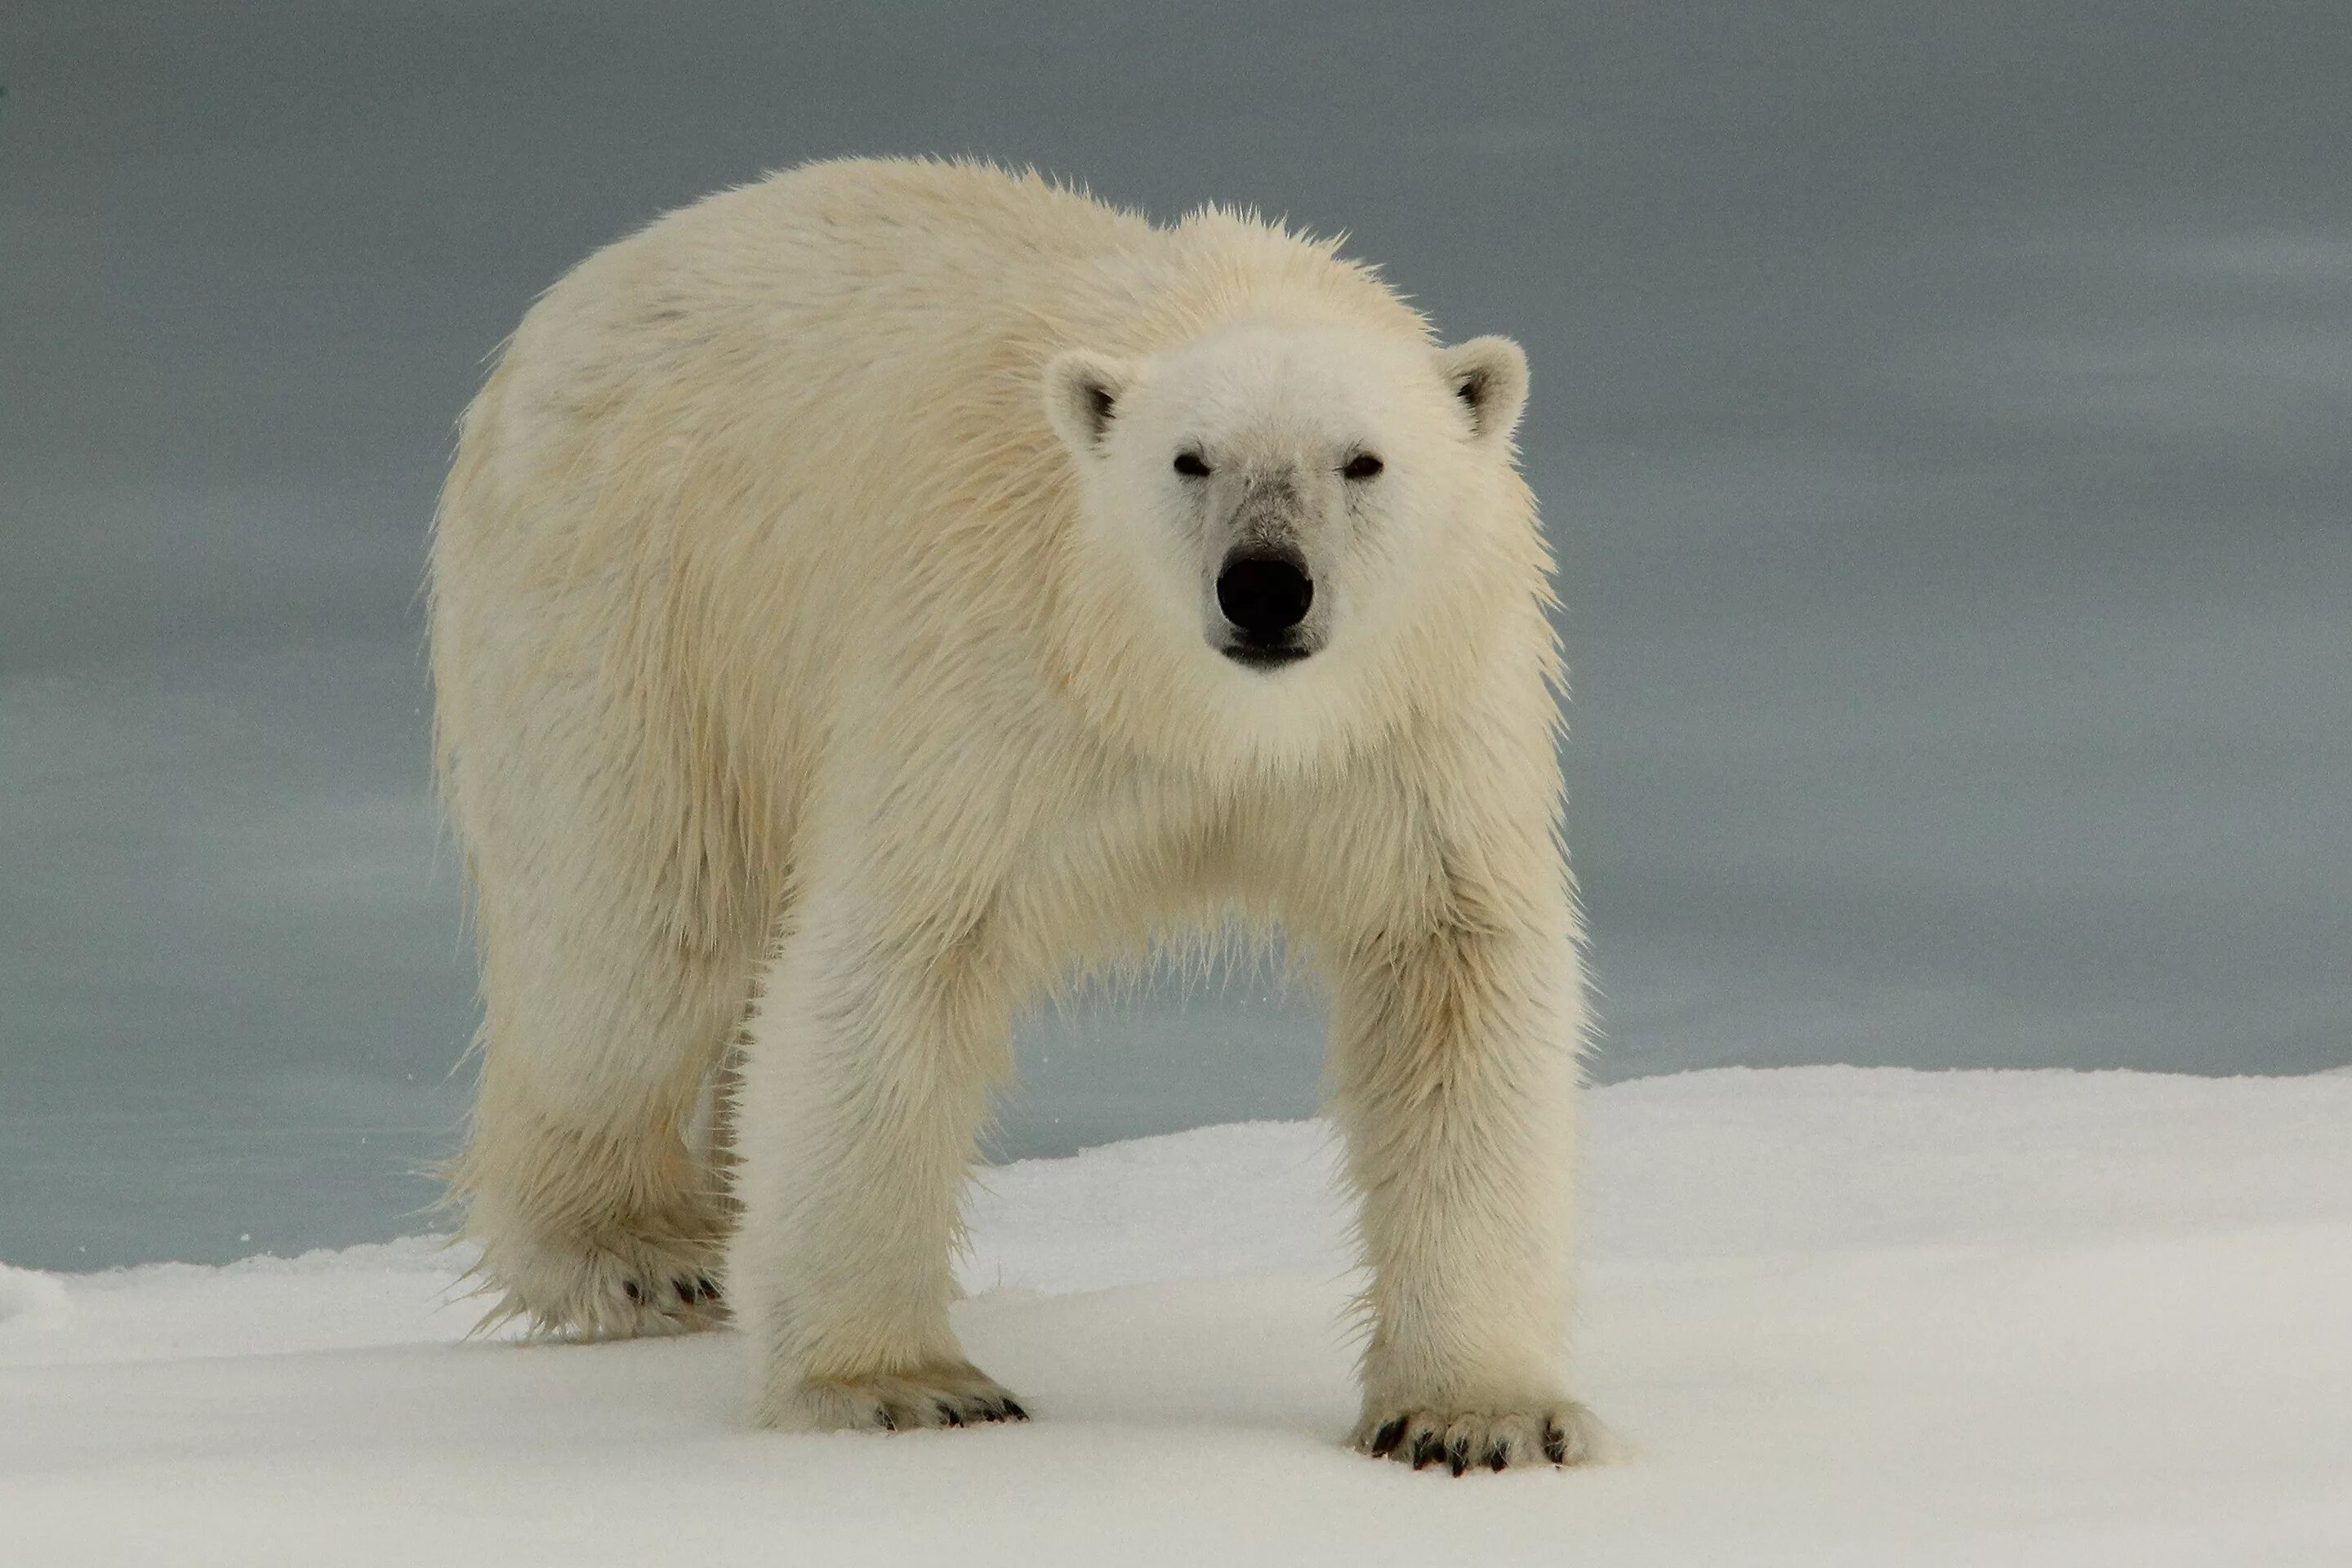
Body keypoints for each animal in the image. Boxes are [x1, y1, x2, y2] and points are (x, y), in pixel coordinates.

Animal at [428, 156, 1599, 1476]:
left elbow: (1453, 973)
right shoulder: (994, 675)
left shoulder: (1419, 726)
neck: (1199, 713)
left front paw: (1476, 1416)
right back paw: (638, 1255)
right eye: (1189, 459)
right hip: (628, 599)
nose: (1265, 586)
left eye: (1364, 462)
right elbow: (893, 963)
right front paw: (896, 1385)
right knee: (634, 947)